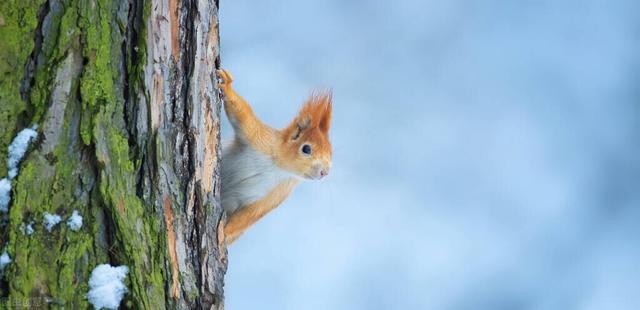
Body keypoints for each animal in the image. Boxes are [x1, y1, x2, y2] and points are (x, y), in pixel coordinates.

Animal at [218, 69, 332, 243]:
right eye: (306, 149)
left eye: (331, 153)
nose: (324, 172)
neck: (279, 168)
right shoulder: (259, 139)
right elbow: (243, 115)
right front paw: (228, 86)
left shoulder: (274, 196)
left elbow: (247, 218)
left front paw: (223, 235)